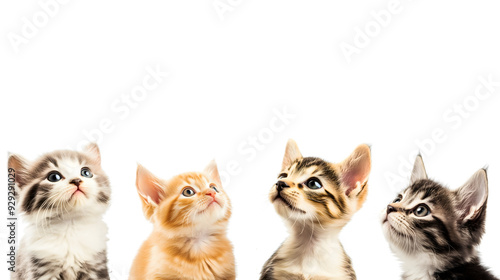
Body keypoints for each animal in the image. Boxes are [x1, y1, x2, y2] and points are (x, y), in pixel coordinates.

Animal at [8, 144, 111, 280]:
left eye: (86, 172)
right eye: (54, 177)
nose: (76, 180)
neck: (70, 225)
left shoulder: (96, 267)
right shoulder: (41, 269)